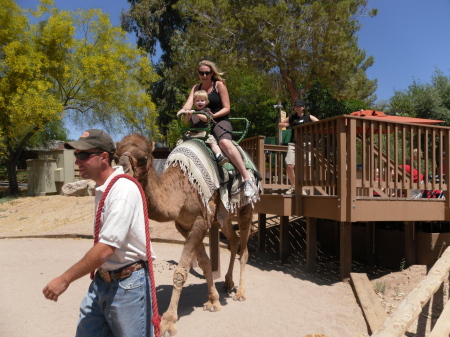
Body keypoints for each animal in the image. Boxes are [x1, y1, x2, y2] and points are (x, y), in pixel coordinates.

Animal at [114, 134, 258, 336]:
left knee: (244, 249)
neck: (177, 192)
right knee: (234, 239)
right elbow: (204, 263)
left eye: (142, 158)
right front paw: (213, 300)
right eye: (114, 155)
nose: (122, 174)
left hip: (246, 208)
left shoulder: (200, 220)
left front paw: (167, 321)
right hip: (223, 217)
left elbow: (180, 271)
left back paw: (240, 293)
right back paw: (228, 284)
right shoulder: (184, 225)